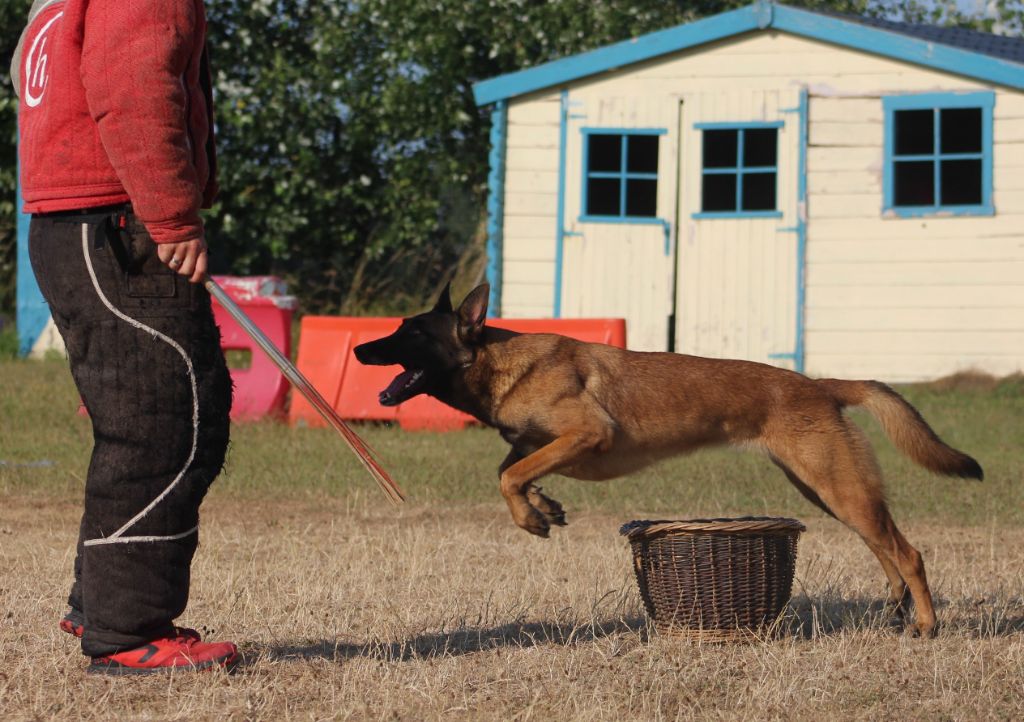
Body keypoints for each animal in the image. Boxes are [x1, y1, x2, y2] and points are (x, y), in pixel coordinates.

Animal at [354, 284, 983, 634]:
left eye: (411, 332)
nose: (359, 348)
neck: (494, 360)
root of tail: (821, 385)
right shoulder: (538, 444)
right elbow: (511, 469)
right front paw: (544, 506)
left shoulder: (588, 435)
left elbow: (509, 475)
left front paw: (531, 516)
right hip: (827, 490)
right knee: (886, 549)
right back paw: (897, 611)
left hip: (837, 486)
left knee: (909, 553)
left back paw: (927, 625)